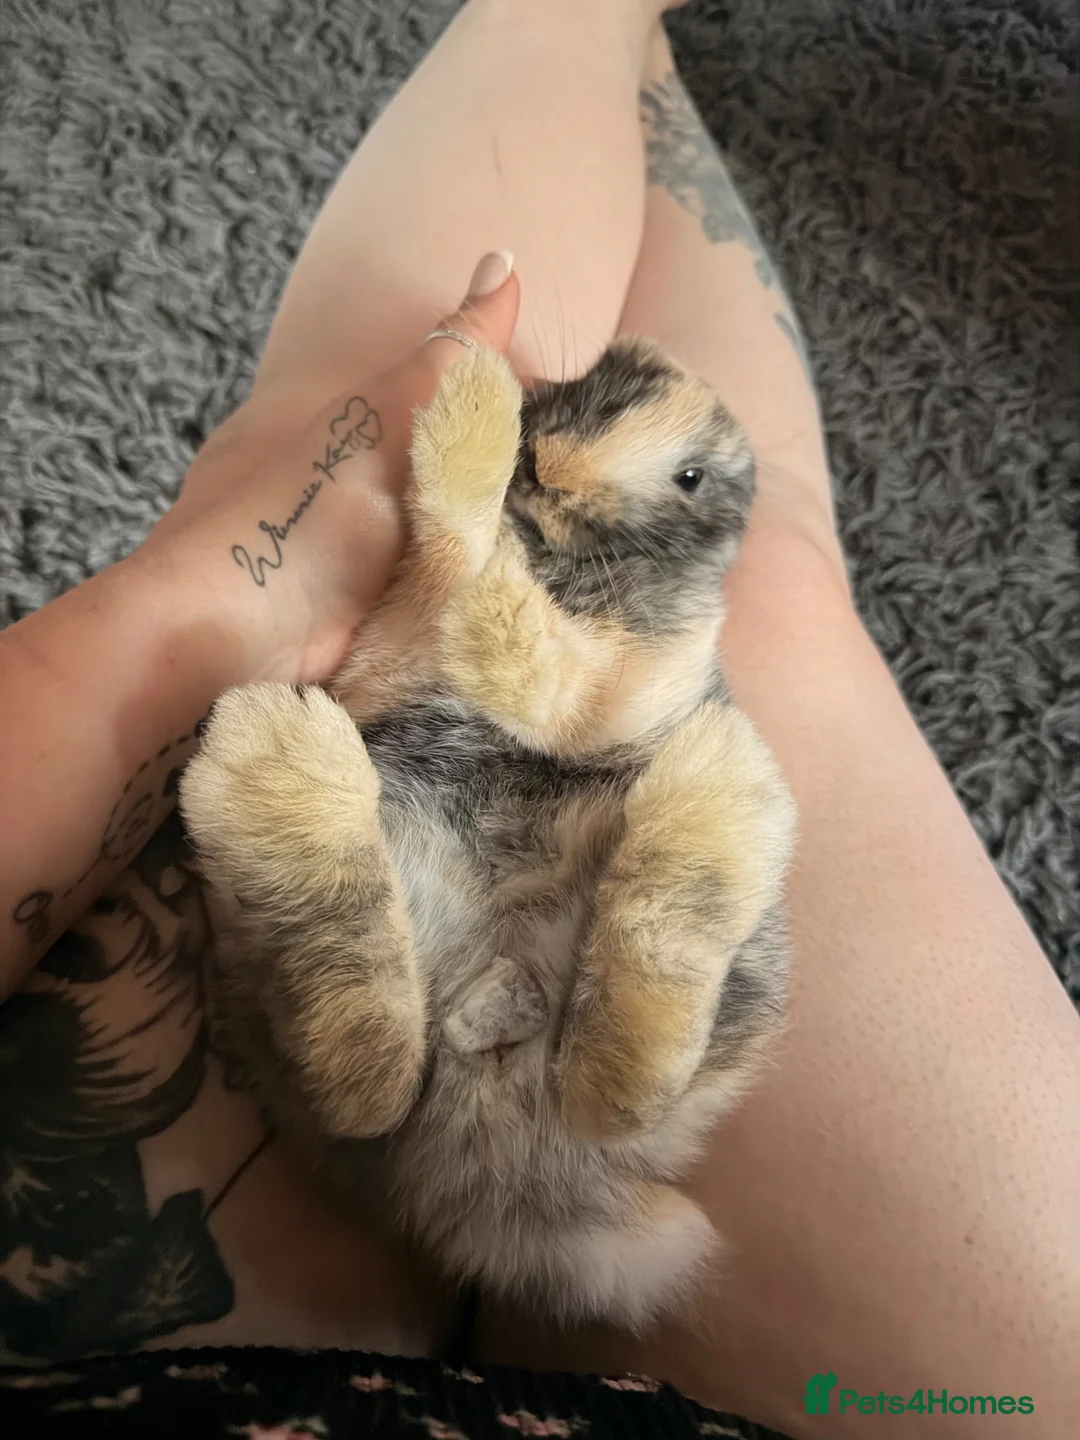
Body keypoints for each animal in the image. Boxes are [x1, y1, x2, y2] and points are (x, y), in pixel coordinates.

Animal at [179, 336, 796, 1328]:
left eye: (691, 476)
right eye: (592, 385)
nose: (550, 466)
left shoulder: (612, 673)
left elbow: (529, 650)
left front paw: (472, 402)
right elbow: (464, 553)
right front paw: (477, 397)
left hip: (732, 979)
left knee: (611, 1080)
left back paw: (714, 787)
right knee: (370, 1071)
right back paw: (280, 767)